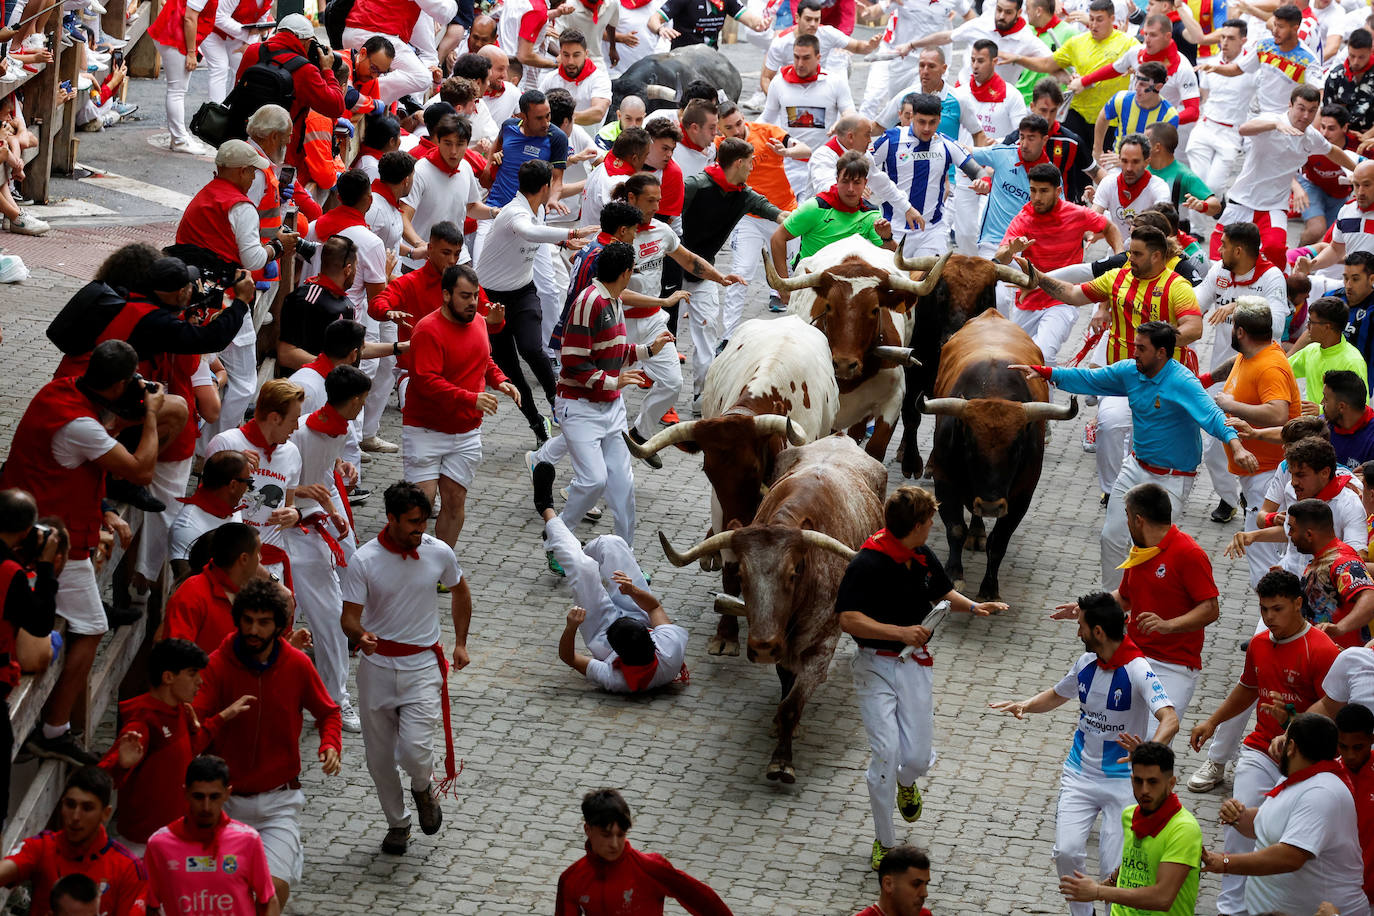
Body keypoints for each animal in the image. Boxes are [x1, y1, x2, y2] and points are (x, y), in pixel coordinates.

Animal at [623, 318, 835, 656]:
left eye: (753, 469)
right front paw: (726, 634)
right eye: (708, 472)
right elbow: (731, 563)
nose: (739, 521)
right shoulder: (719, 505)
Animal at [659, 436, 884, 780]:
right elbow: (785, 682)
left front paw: (782, 759)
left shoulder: (820, 647)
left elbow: (792, 704)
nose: (763, 645)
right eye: (740, 574)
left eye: (794, 572)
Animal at [917, 311, 1077, 601]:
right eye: (969, 445)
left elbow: (1000, 540)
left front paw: (990, 588)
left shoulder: (1023, 494)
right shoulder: (945, 481)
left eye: (1017, 448)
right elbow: (955, 529)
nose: (991, 505)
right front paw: (954, 575)